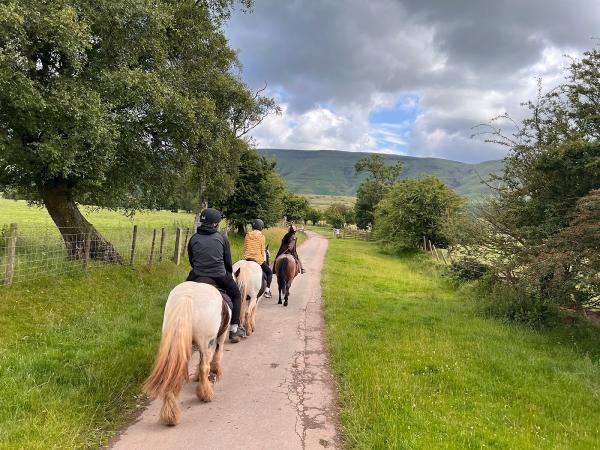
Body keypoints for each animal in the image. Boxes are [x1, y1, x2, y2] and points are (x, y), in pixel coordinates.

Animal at [144, 282, 231, 426]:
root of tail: (187, 297)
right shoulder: (220, 337)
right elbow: (216, 355)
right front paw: (215, 372)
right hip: (206, 341)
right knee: (204, 366)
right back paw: (205, 394)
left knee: (172, 371)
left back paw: (170, 414)